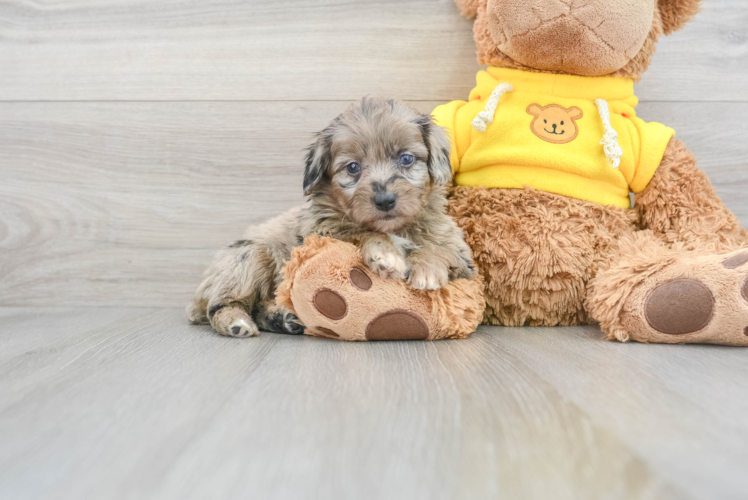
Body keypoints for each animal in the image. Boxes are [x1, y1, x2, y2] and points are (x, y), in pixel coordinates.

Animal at [190, 95, 476, 338]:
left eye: (406, 159)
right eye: (352, 167)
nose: (385, 200)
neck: (395, 228)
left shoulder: (464, 259)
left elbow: (440, 249)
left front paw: (427, 268)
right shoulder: (321, 233)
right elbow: (359, 231)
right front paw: (386, 253)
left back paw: (282, 319)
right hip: (249, 255)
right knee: (220, 305)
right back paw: (236, 321)